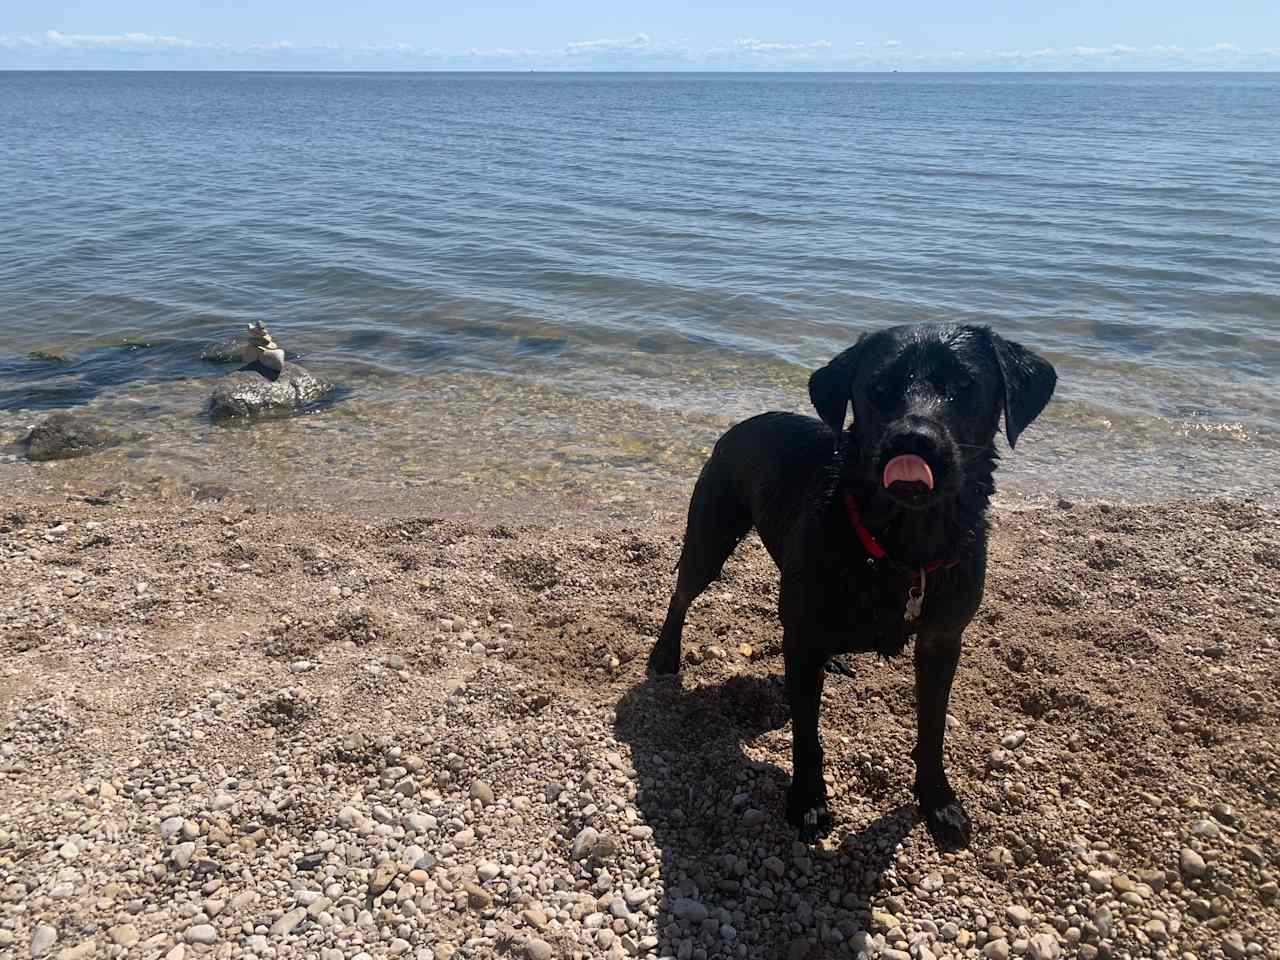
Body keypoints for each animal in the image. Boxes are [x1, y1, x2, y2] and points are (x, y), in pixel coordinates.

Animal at [650, 325, 1059, 849]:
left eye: (964, 386)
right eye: (878, 388)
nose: (913, 439)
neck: (903, 546)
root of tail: (743, 423)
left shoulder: (942, 640)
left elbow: (932, 730)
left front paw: (938, 801)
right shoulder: (804, 640)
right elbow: (807, 735)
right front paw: (807, 801)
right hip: (711, 535)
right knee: (681, 593)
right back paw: (665, 654)